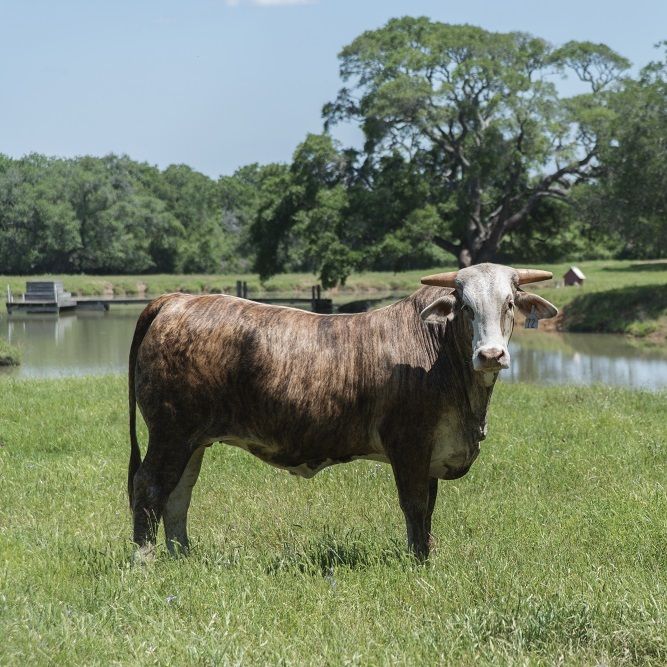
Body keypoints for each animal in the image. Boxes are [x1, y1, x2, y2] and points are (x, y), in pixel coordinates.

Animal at [128, 264, 556, 560]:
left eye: (510, 303)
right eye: (466, 307)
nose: (491, 355)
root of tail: (178, 300)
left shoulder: (432, 452)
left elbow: (429, 511)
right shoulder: (409, 446)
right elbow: (415, 507)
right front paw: (419, 563)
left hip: (193, 440)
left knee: (179, 495)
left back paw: (183, 556)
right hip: (170, 432)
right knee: (150, 488)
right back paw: (145, 560)